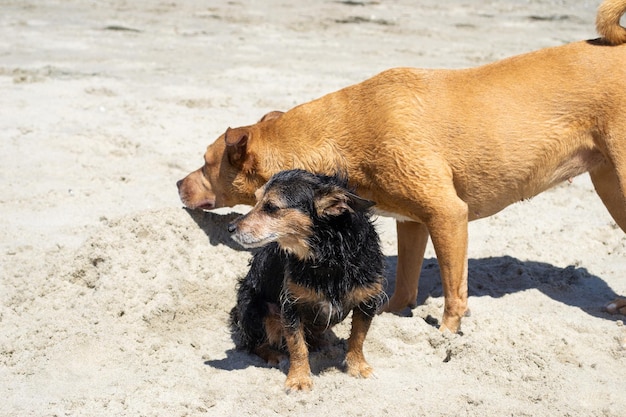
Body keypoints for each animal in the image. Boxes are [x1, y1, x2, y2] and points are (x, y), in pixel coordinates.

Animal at [177, 0, 624, 332]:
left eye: (205, 162)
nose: (178, 183)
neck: (343, 132)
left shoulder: (448, 215)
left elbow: (454, 290)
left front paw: (447, 333)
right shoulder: (413, 223)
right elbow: (406, 286)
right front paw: (392, 316)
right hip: (610, 189)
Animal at [227, 168, 382, 390]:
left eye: (271, 207)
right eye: (256, 200)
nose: (230, 227)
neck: (328, 257)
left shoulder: (367, 301)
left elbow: (358, 337)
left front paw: (358, 367)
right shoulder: (291, 305)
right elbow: (297, 346)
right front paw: (299, 379)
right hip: (253, 305)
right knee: (254, 344)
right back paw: (275, 355)